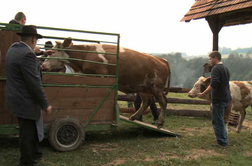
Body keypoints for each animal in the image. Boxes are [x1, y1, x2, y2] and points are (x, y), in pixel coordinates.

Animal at [42, 38, 170, 128]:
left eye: (52, 52)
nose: (42, 65)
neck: (86, 53)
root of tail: (161, 60)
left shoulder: (102, 75)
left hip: (156, 86)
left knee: (163, 101)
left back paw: (160, 122)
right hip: (143, 87)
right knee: (147, 101)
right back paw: (134, 116)